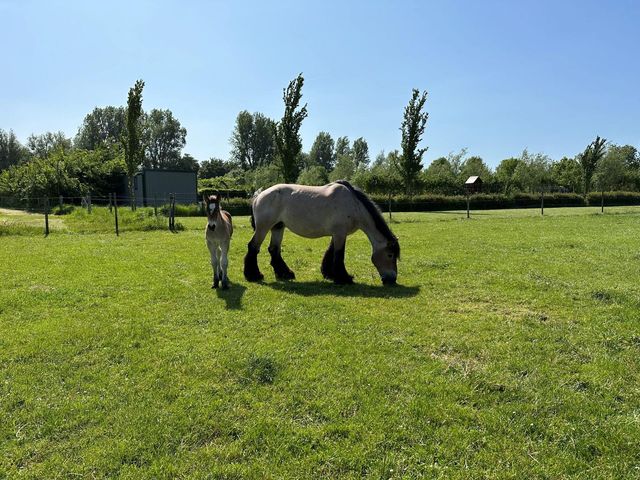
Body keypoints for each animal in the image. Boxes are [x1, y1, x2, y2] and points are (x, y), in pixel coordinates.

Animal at [245, 180, 400, 284]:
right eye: (390, 255)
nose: (392, 279)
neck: (354, 205)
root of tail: (259, 195)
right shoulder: (340, 234)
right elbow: (339, 255)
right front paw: (344, 278)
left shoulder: (338, 234)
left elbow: (330, 252)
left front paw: (329, 274)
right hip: (263, 227)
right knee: (253, 247)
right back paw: (254, 275)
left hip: (278, 227)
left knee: (274, 249)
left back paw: (285, 274)